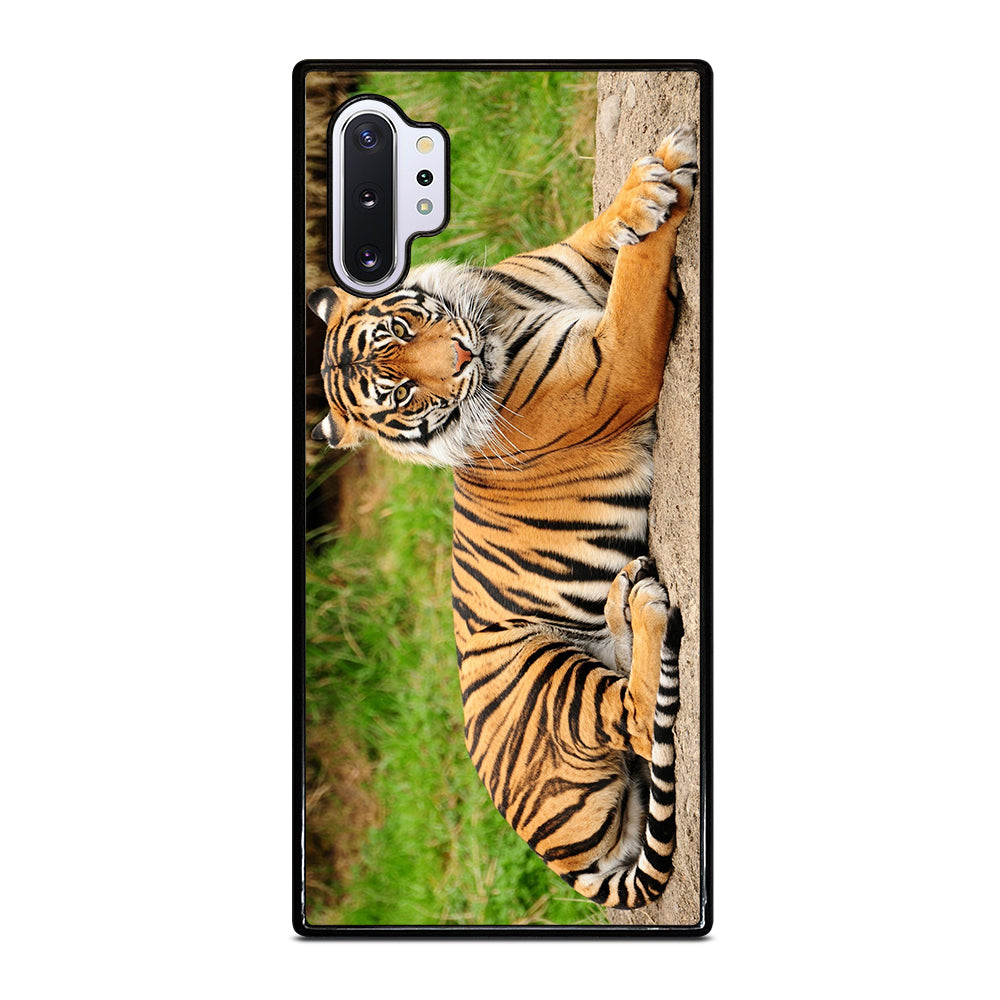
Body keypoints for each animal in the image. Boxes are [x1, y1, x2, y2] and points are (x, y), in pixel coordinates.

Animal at [308, 124, 698, 909]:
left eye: (401, 327)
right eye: (399, 393)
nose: (461, 357)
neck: (495, 313)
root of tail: (562, 862)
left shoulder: (570, 266)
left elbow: (607, 234)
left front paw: (648, 185)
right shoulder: (615, 363)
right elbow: (639, 275)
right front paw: (661, 190)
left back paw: (624, 597)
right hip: (543, 673)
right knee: (639, 718)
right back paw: (644, 608)